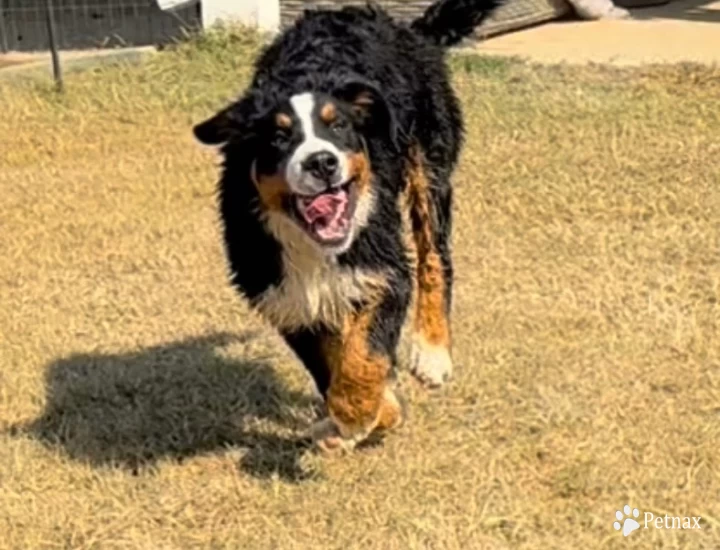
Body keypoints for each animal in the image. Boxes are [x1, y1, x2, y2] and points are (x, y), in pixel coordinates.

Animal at [194, 0, 504, 458]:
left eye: (338, 125)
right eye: (278, 137)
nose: (321, 162)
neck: (311, 246)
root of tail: (405, 31)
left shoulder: (383, 272)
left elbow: (363, 358)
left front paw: (357, 416)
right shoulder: (287, 296)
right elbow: (333, 367)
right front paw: (368, 416)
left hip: (429, 165)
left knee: (435, 258)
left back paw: (432, 352)